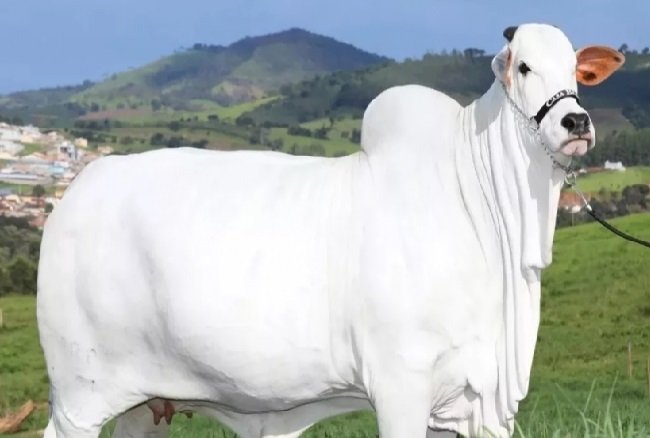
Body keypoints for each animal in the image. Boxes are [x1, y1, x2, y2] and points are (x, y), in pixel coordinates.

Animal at [37, 23, 623, 438]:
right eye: (523, 66)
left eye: (575, 70)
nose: (576, 123)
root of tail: (76, 193)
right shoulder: (401, 385)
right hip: (79, 396)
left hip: (145, 404)